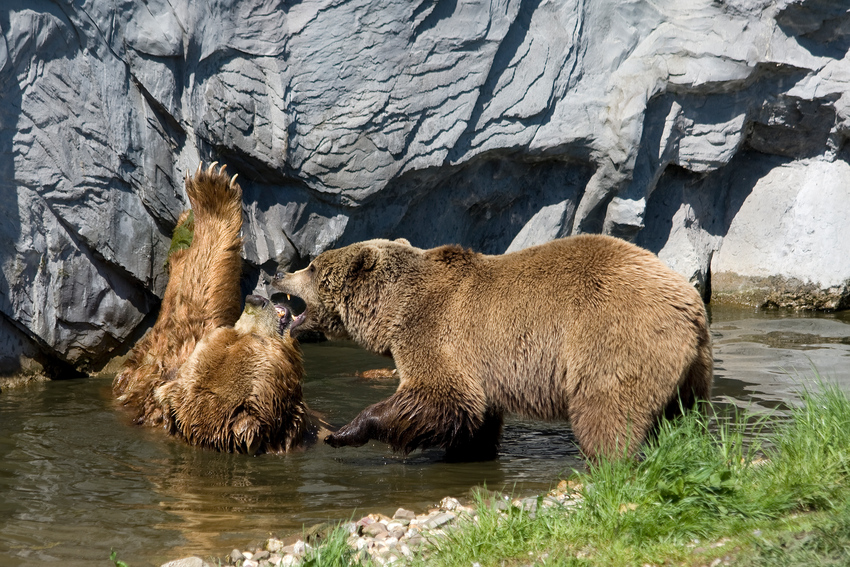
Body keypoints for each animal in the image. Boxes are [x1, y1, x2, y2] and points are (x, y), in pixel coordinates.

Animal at [274, 235, 712, 462]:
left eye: (312, 266)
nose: (279, 272)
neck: (394, 309)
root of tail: (690, 303)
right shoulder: (479, 363)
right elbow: (474, 416)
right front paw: (466, 453)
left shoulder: (437, 331)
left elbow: (439, 395)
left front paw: (346, 431)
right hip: (689, 368)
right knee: (682, 415)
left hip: (611, 336)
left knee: (606, 409)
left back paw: (605, 462)